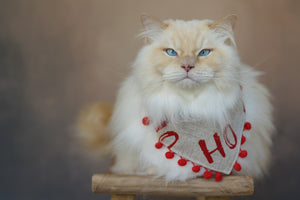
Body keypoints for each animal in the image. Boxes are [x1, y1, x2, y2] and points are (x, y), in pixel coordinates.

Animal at [78, 14, 274, 181]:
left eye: (203, 53)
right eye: (171, 52)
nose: (187, 65)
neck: (188, 108)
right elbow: (151, 166)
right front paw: (153, 170)